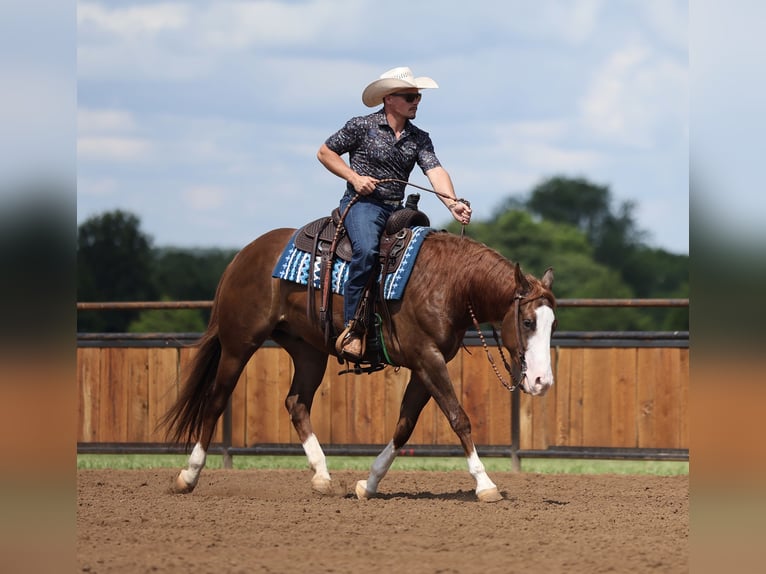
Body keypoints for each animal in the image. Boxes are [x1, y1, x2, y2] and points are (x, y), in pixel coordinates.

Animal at [161, 225, 556, 502]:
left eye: (552, 323)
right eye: (527, 322)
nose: (542, 382)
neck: (451, 282)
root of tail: (242, 255)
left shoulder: (426, 364)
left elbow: (404, 426)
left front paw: (369, 483)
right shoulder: (427, 359)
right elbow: (459, 418)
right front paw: (486, 484)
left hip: (308, 351)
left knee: (296, 403)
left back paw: (322, 477)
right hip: (238, 344)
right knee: (215, 401)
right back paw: (188, 476)